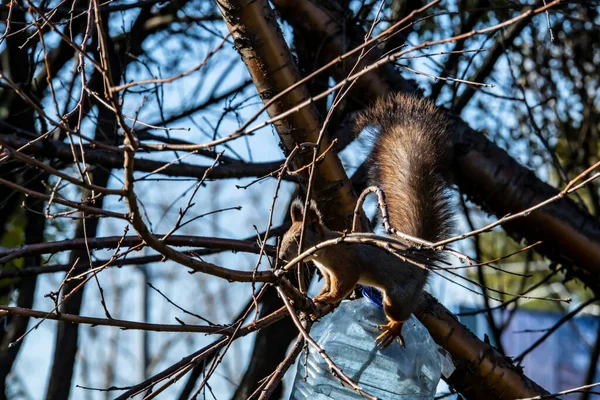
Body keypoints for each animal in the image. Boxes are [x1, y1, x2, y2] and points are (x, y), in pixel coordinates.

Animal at [278, 93, 452, 346]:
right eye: (283, 237)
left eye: (300, 237)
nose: (281, 256)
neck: (324, 253)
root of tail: (418, 258)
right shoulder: (328, 273)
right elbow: (328, 285)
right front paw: (320, 296)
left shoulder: (346, 265)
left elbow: (344, 285)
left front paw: (327, 298)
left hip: (397, 298)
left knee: (400, 314)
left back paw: (393, 329)